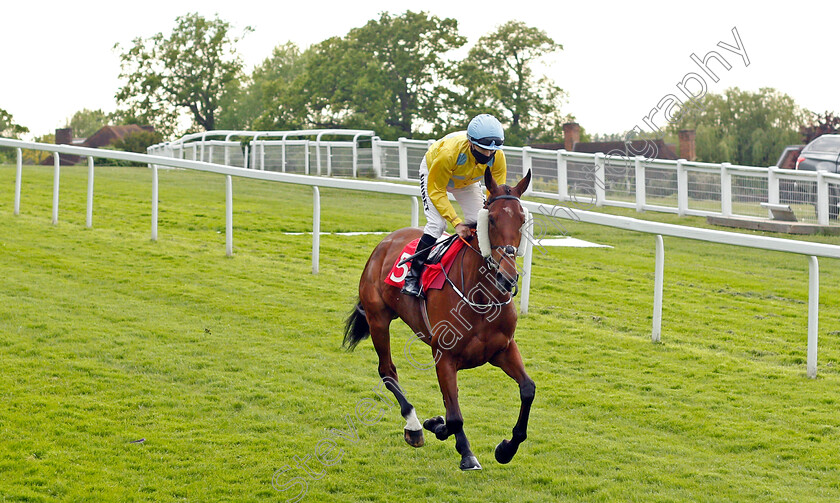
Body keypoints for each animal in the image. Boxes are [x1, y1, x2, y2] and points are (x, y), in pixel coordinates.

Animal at [342, 169, 536, 472]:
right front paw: (441, 430)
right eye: (491, 218)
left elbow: (528, 390)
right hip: (378, 319)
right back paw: (414, 426)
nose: (507, 277)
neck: (481, 298)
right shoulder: (444, 355)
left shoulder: (503, 348)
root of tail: (385, 241)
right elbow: (454, 416)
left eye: (521, 219)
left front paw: (506, 449)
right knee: (387, 371)